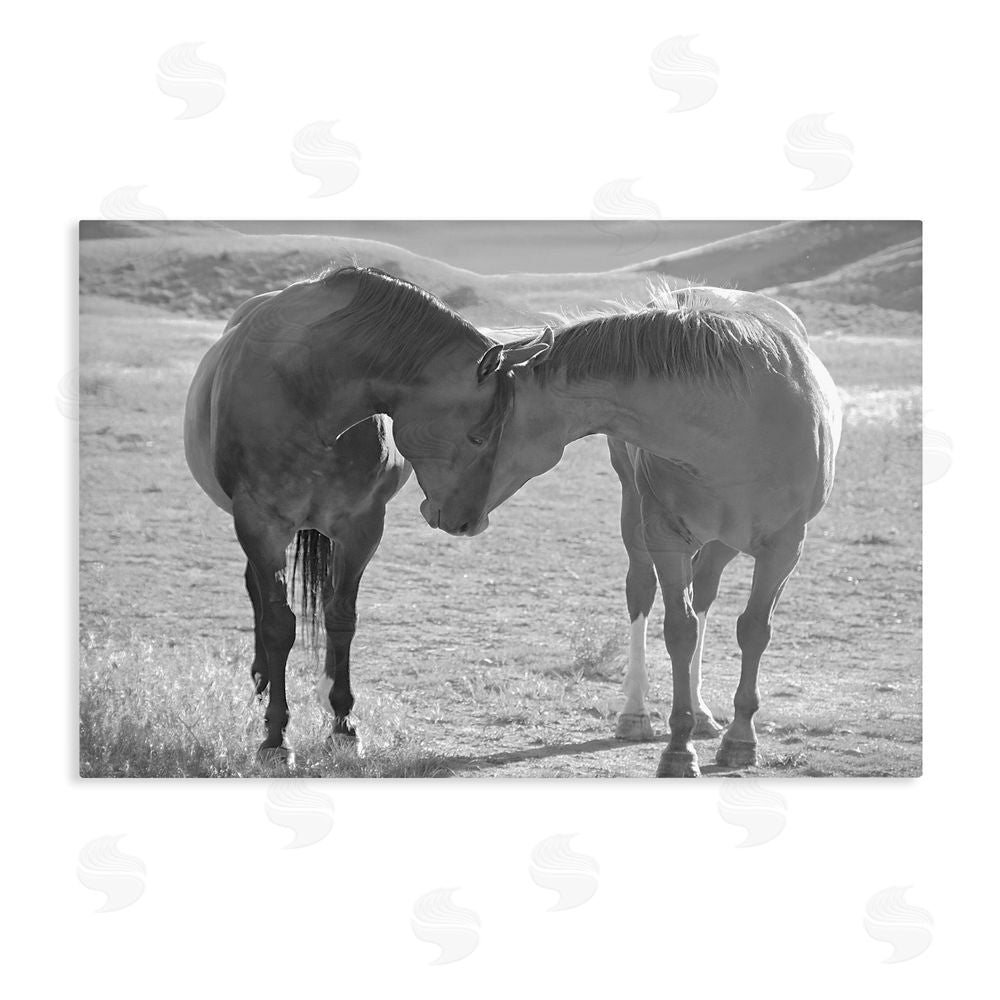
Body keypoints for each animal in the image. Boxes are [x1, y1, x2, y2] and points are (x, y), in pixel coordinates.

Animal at [184, 265, 544, 763]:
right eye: (478, 436)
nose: (470, 522)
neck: (310, 390)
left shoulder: (361, 528)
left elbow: (341, 618)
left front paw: (342, 724)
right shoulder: (259, 524)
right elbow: (278, 625)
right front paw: (276, 736)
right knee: (257, 593)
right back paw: (261, 681)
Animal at [423, 285, 843, 777]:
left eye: (477, 434)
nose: (437, 511)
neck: (737, 421)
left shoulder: (784, 548)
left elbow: (753, 630)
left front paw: (740, 739)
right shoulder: (664, 535)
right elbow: (679, 631)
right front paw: (678, 749)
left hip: (723, 542)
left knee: (705, 594)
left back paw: (703, 713)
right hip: (636, 515)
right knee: (642, 591)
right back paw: (636, 713)